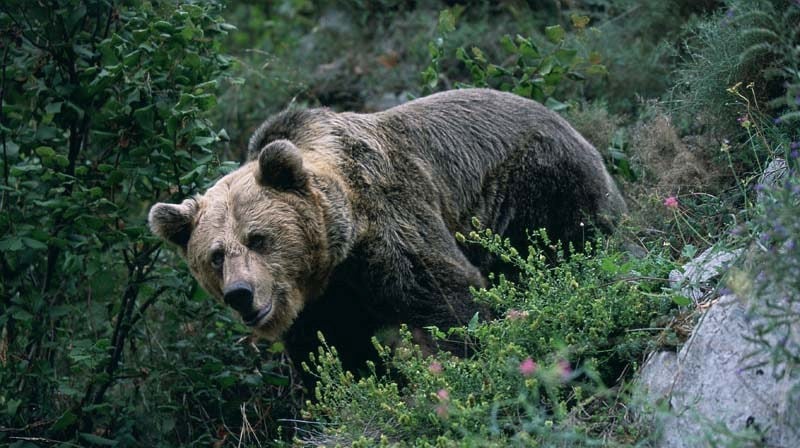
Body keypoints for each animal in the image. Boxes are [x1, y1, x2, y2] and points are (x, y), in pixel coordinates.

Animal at [148, 88, 626, 379]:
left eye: (258, 238)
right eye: (215, 256)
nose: (241, 294)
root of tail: (572, 126)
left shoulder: (390, 222)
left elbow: (446, 296)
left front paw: (471, 361)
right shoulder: (326, 301)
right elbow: (334, 355)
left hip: (538, 184)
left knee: (569, 240)